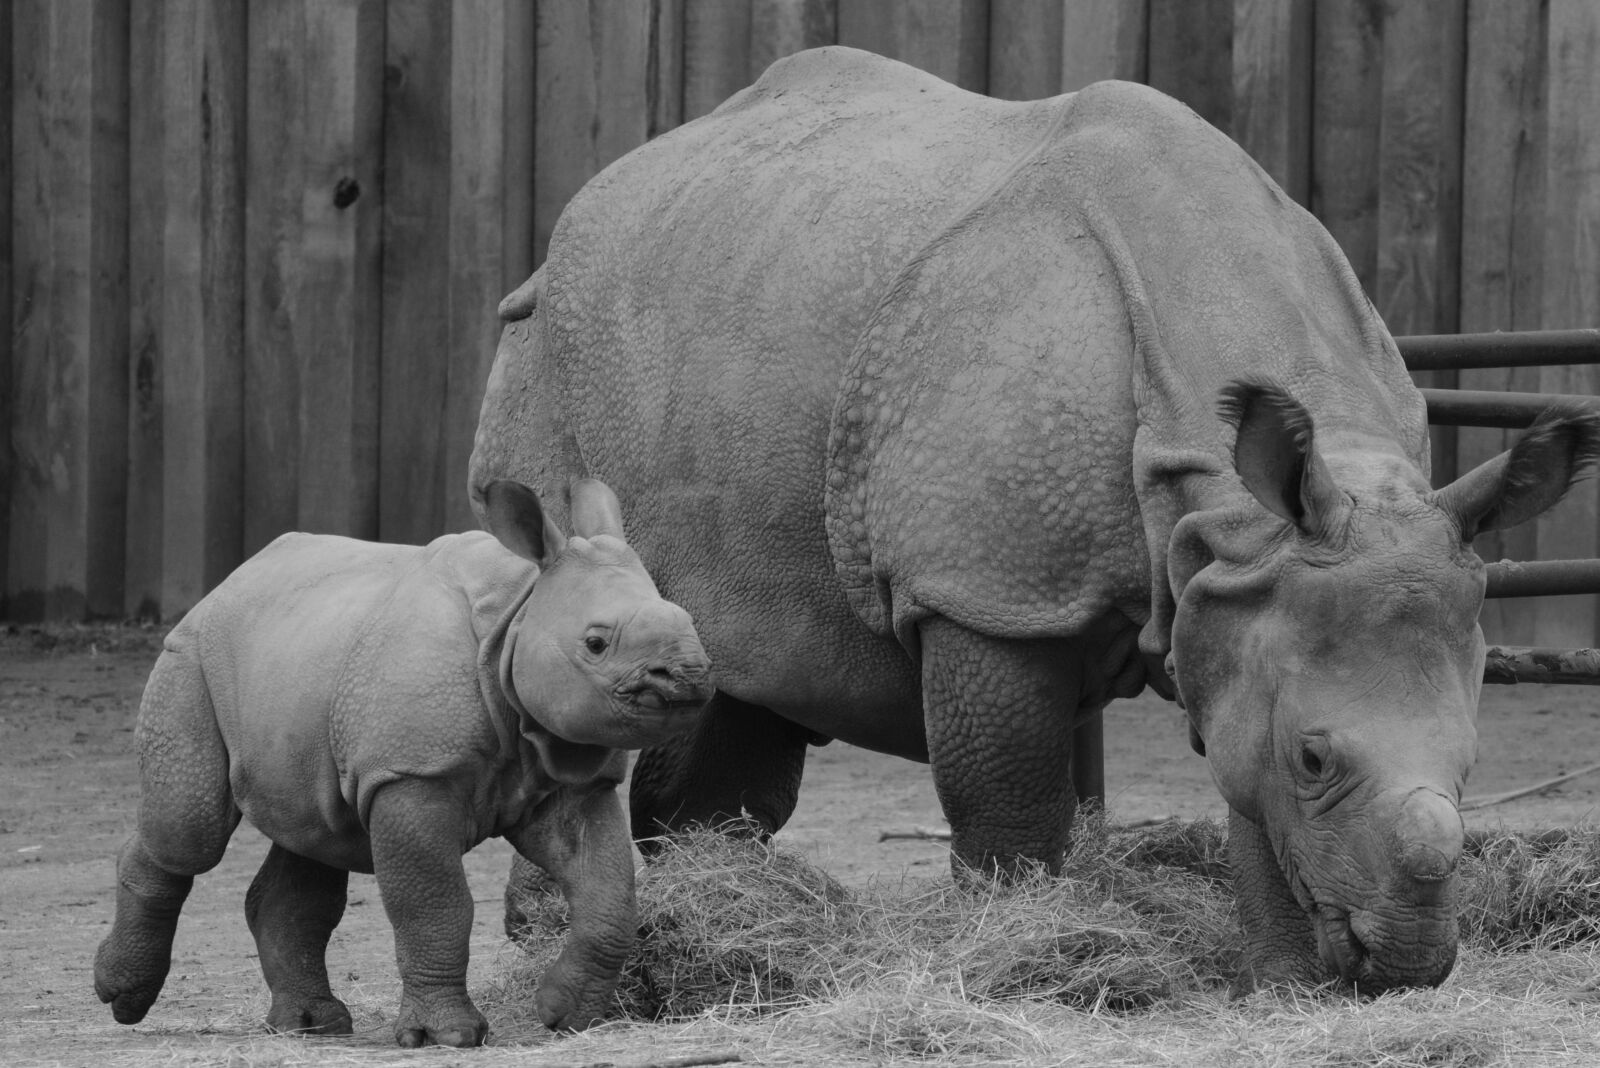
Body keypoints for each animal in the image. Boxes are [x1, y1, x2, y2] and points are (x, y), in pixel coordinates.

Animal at [93, 479, 713, 1046]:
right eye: (595, 643)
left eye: (690, 622)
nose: (690, 677)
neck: (521, 610)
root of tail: (224, 584)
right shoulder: (411, 774)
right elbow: (436, 904)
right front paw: (449, 1036)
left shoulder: (572, 776)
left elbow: (609, 896)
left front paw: (567, 1015)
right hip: (190, 658)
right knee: (190, 834)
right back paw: (122, 997)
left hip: (301, 664)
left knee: (313, 835)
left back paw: (311, 1027)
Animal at [468, 47, 1600, 993]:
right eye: (1318, 760)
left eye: (1474, 763)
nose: (1405, 965)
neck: (1221, 500)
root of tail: (586, 205)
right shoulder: (987, 591)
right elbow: (1009, 805)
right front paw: (1023, 948)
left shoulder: (1244, 581)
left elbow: (1246, 783)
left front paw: (1282, 983)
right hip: (547, 350)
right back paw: (557, 940)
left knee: (742, 684)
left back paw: (714, 895)